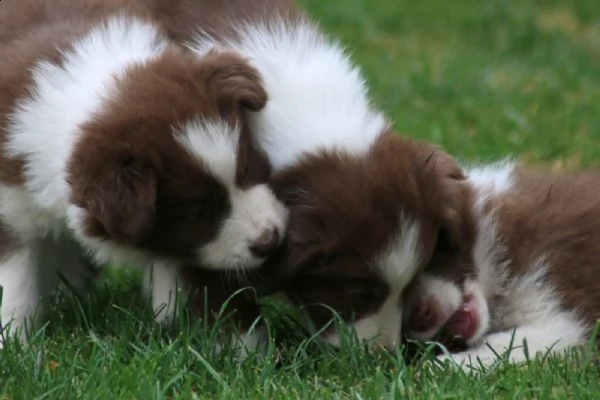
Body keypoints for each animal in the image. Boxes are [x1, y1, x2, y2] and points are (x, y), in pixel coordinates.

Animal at [0, 0, 288, 344]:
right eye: (197, 210)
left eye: (246, 168)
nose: (269, 241)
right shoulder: (11, 204)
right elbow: (15, 283)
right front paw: (15, 343)